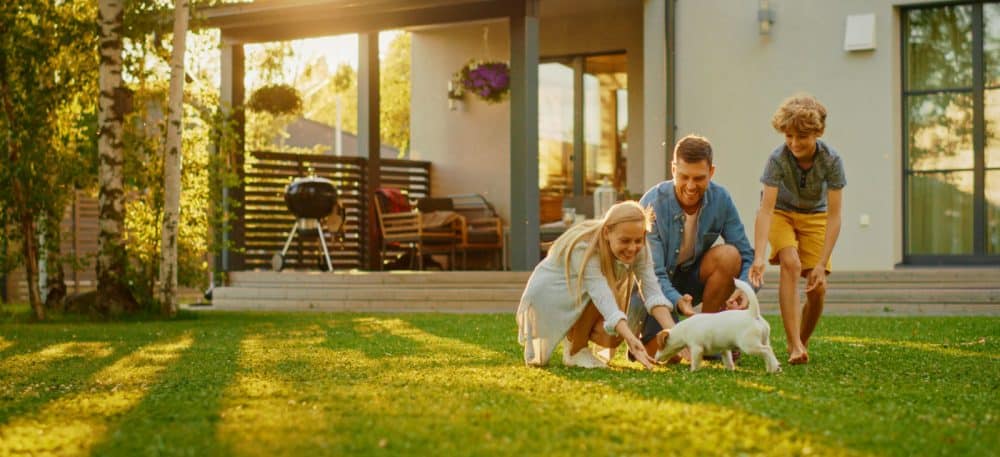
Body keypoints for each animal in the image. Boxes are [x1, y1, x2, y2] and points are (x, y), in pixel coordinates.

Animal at [652, 278, 784, 370]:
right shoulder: (724, 349)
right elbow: (728, 361)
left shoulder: (697, 348)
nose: (654, 359)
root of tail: (752, 314)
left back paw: (774, 368)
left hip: (749, 345)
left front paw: (693, 371)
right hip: (764, 340)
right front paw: (731, 370)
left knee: (767, 350)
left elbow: (695, 362)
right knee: (769, 352)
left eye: (659, 345)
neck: (683, 330)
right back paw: (772, 368)